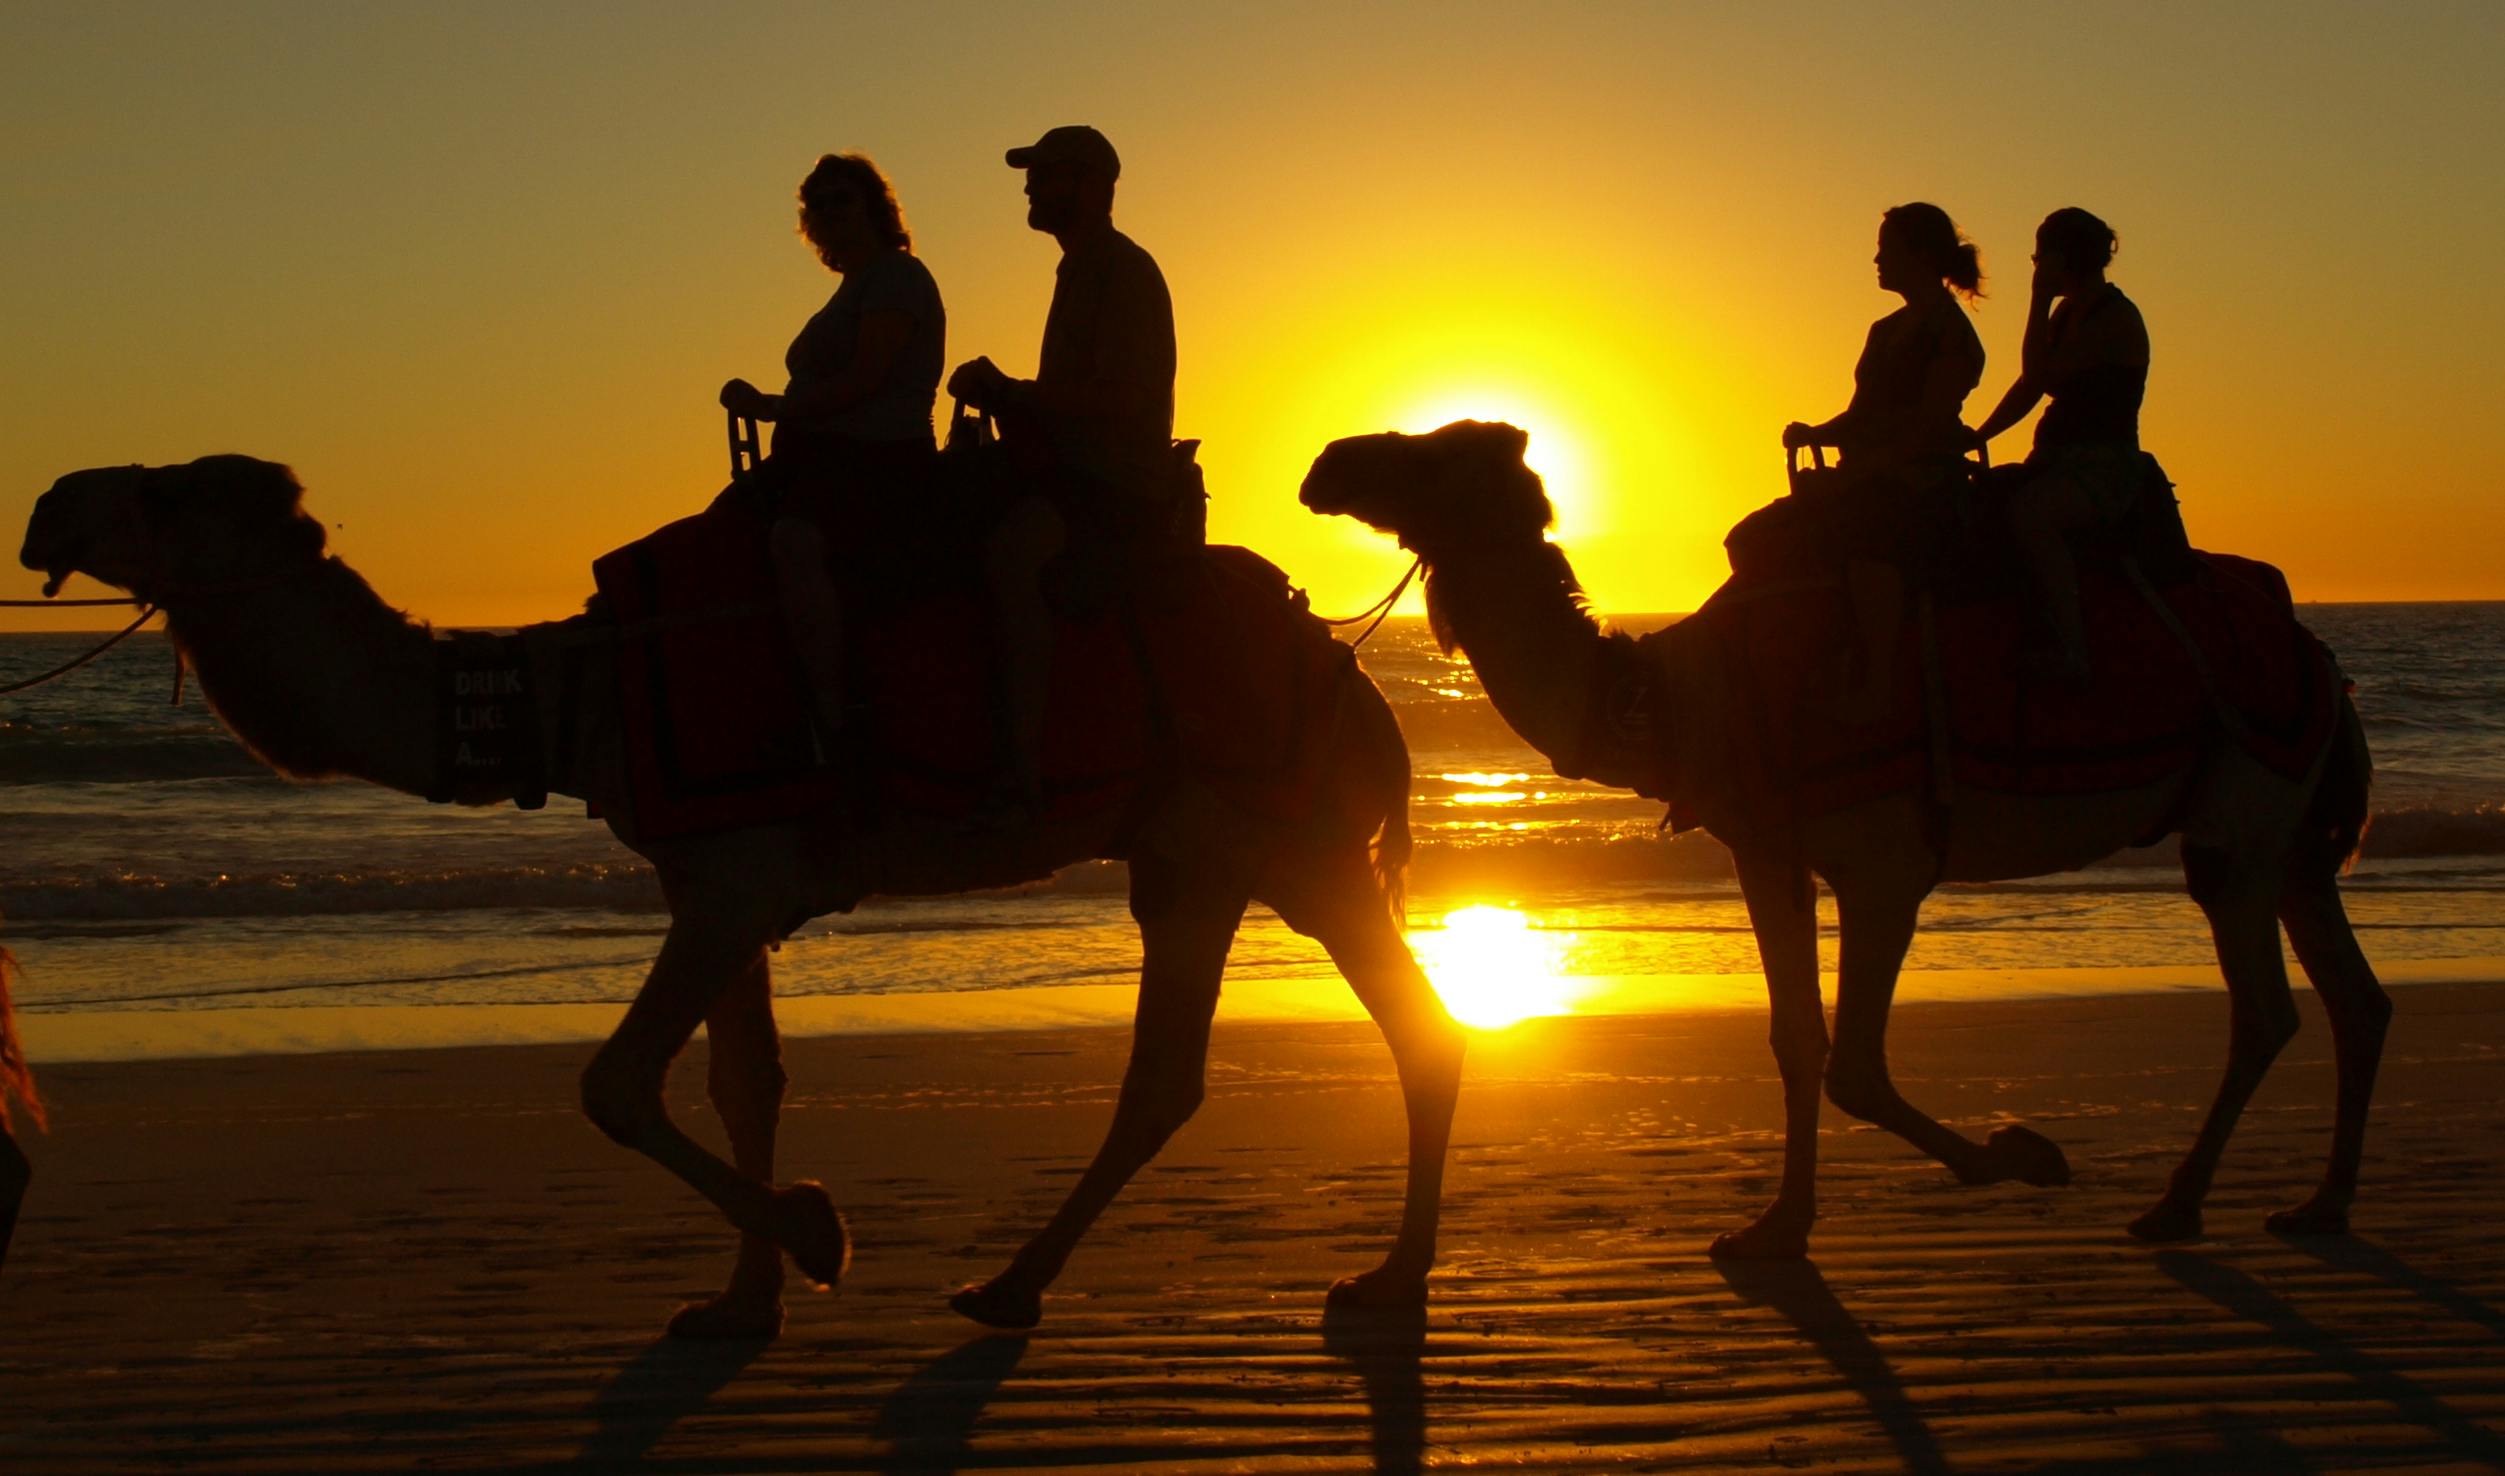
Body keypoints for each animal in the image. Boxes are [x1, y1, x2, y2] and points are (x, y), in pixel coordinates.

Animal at [19, 453, 1462, 1333]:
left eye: (158, 491)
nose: (45, 503)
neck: (579, 697)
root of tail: (1356, 681)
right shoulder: (716, 882)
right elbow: (741, 1077)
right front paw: (741, 1300)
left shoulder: (734, 880)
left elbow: (613, 1083)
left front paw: (818, 1238)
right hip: (1270, 854)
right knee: (1379, 1038)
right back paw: (1355, 1279)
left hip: (1237, 839)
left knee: (1219, 1065)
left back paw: (1041, 1285)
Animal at [1302, 423, 2394, 1252]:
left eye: (1435, 452)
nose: (1326, 463)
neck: (1677, 699)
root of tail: (2318, 659)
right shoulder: (1766, 851)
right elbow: (1798, 1040)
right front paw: (1776, 1226)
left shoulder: (1884, 868)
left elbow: (1857, 1064)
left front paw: (2019, 1156)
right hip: (2289, 837)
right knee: (2353, 996)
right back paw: (2320, 1202)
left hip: (2239, 814)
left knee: (2264, 1009)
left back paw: (2178, 1202)